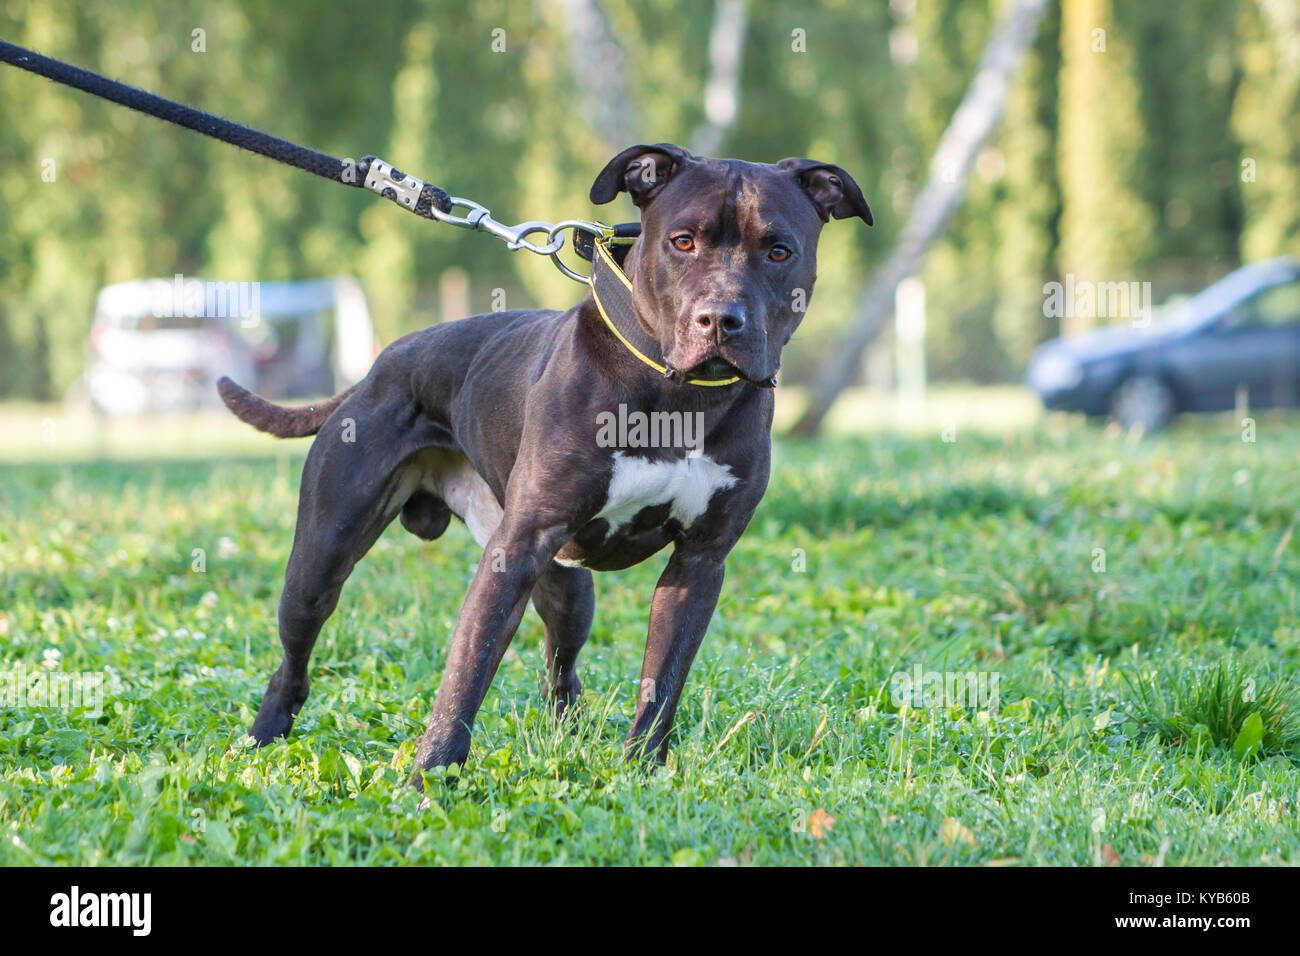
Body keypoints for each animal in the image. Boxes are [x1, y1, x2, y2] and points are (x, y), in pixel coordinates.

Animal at [220, 143, 873, 785]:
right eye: (683, 241)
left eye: (779, 250)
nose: (720, 319)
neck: (680, 396)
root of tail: (378, 368)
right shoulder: (515, 552)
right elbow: (466, 674)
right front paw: (430, 780)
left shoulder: (699, 562)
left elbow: (662, 679)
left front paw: (643, 772)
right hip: (321, 561)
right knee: (294, 657)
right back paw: (259, 742)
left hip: (569, 587)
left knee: (562, 669)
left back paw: (569, 737)